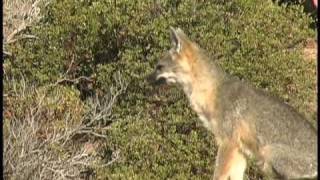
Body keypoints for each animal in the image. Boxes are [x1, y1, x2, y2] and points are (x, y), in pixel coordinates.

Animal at [148, 27, 318, 179]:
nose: (146, 79)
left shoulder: (227, 142)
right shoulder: (239, 150)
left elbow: (219, 175)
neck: (213, 90)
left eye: (159, 67)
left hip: (268, 154)